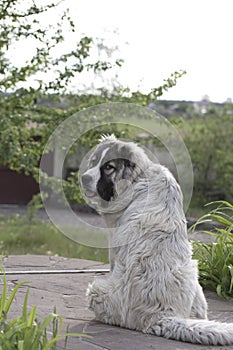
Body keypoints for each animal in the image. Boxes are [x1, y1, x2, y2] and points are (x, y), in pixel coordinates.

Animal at [80, 135, 233, 346]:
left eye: (108, 167)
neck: (138, 178)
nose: (84, 178)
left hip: (96, 290)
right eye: (93, 161)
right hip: (195, 276)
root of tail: (163, 315)